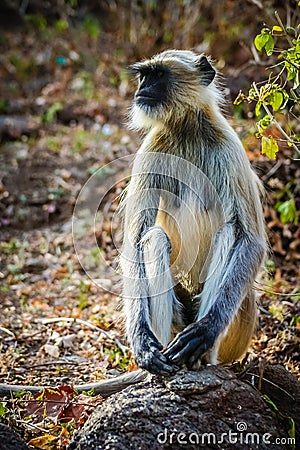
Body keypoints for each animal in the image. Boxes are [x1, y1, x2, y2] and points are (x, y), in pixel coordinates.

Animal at [119, 49, 264, 374]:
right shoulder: (151, 148)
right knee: (154, 238)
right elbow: (135, 241)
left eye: (158, 76)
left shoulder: (230, 148)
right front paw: (142, 340)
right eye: (143, 76)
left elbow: (251, 242)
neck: (186, 128)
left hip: (240, 322)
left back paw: (200, 356)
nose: (141, 89)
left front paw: (205, 331)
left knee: (229, 234)